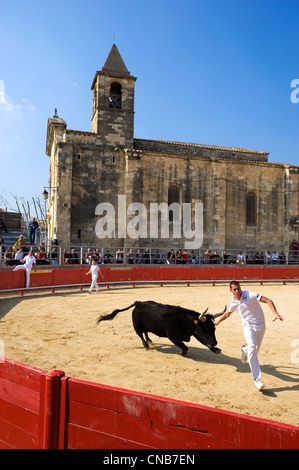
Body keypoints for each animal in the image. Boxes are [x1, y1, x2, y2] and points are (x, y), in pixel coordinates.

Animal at [97, 302, 226, 356]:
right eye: (205, 328)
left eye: (214, 328)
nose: (215, 343)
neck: (184, 320)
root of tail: (138, 303)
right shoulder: (173, 336)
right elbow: (185, 346)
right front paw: (182, 352)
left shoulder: (194, 333)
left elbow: (204, 342)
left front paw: (215, 350)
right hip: (137, 326)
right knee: (140, 334)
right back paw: (146, 345)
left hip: (146, 325)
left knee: (145, 332)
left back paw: (149, 340)